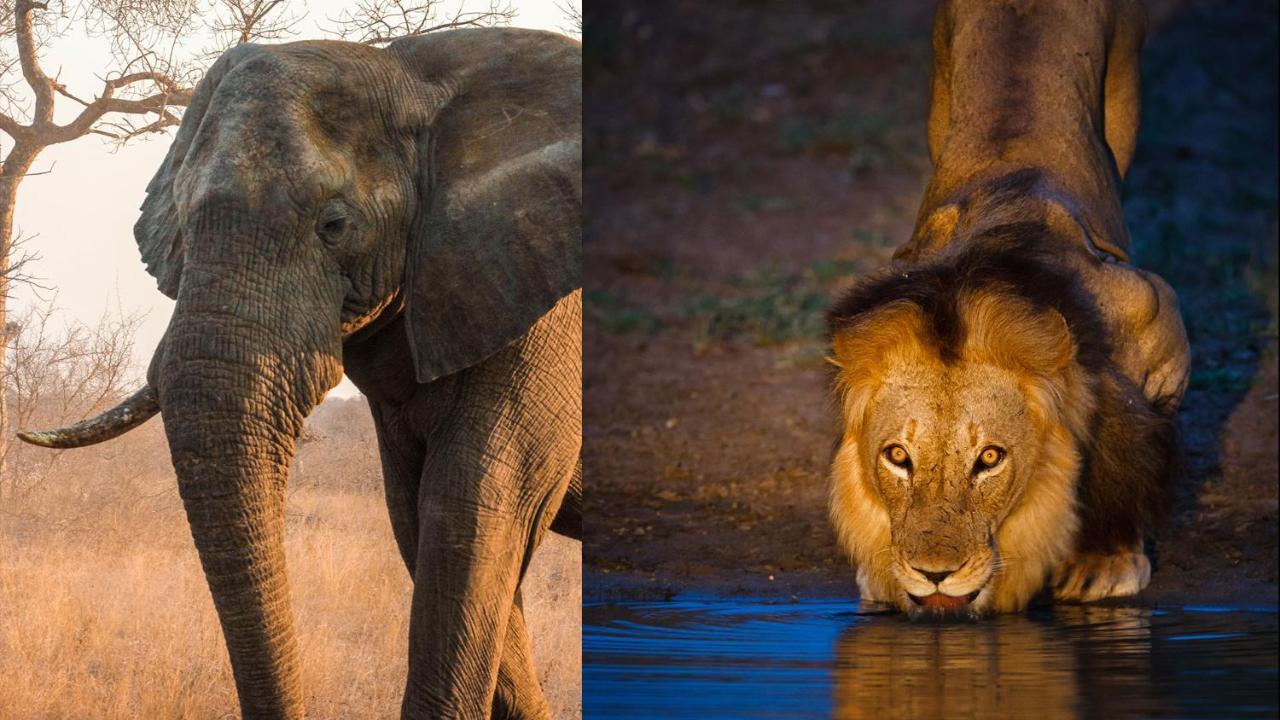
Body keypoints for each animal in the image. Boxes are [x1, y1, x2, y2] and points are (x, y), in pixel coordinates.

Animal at [16, 25, 581, 712]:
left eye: (335, 226)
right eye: (183, 227)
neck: (416, 77)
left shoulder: (546, 310)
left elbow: (474, 510)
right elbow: (421, 521)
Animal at [829, 0, 1187, 617]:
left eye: (990, 459)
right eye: (897, 456)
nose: (935, 574)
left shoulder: (1158, 320)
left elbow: (1129, 449)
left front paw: (1107, 560)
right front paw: (881, 578)